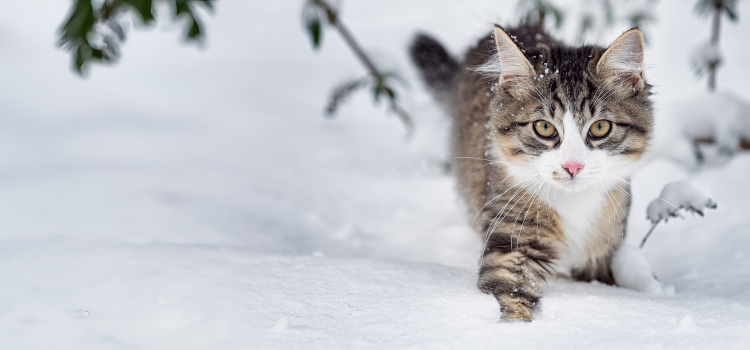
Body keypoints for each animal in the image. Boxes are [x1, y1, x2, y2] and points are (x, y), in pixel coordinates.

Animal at [412, 25, 664, 322]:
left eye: (600, 127)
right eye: (544, 128)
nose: (573, 166)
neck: (574, 204)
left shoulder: (603, 246)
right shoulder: (514, 236)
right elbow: (509, 294)